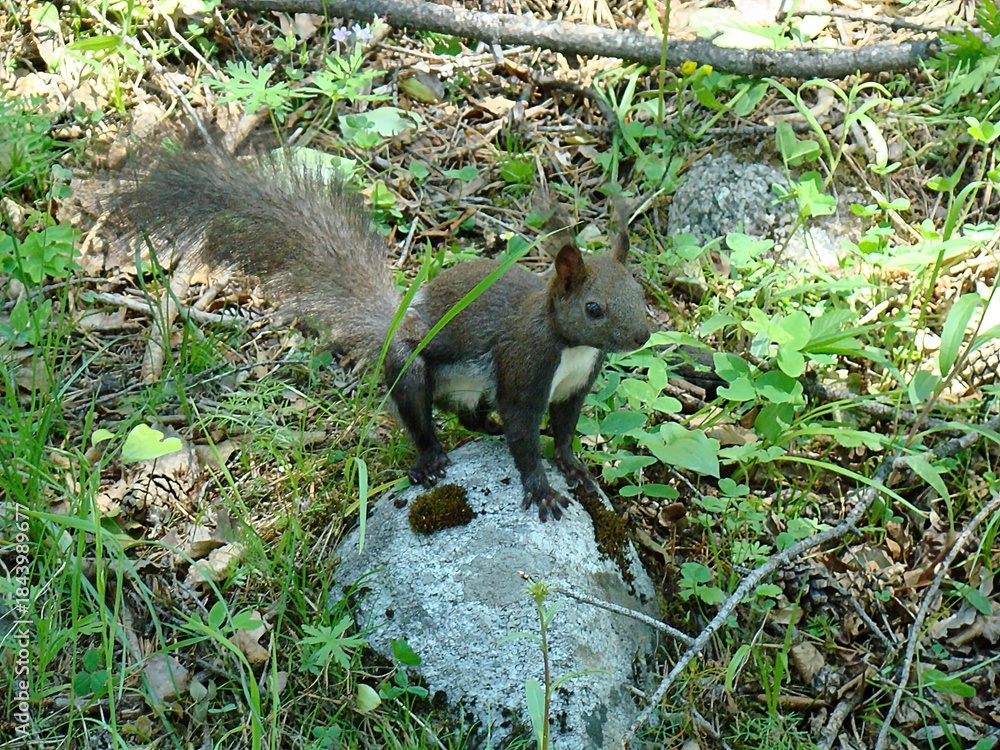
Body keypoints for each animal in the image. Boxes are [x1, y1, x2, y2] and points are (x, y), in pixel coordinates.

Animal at [116, 151, 650, 521]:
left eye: (638, 289)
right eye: (593, 308)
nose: (643, 336)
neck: (571, 347)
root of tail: (396, 323)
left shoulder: (574, 387)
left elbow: (563, 431)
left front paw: (574, 467)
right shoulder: (525, 368)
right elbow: (524, 433)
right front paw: (541, 490)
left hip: (470, 389)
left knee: (471, 416)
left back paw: (482, 430)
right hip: (412, 370)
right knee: (422, 418)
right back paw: (429, 460)